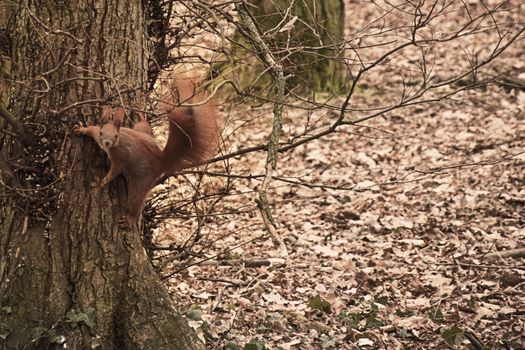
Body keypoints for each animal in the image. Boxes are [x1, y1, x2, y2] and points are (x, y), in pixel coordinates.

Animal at [74, 79, 220, 227]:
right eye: (102, 133)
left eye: (116, 136)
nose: (107, 143)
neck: (116, 143)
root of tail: (160, 162)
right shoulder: (98, 137)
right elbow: (92, 129)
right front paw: (82, 129)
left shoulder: (120, 156)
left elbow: (116, 169)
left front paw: (105, 180)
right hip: (141, 130)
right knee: (144, 124)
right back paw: (140, 115)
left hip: (142, 181)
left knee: (136, 200)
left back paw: (130, 219)